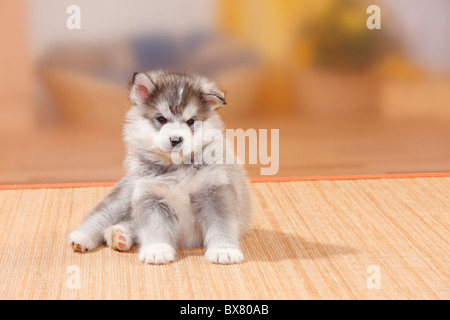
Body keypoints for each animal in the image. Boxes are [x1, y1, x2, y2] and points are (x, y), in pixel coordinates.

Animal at [67, 70, 251, 264]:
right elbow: (154, 227)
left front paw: (224, 250)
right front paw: (157, 250)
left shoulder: (215, 192)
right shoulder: (150, 196)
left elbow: (221, 225)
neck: (176, 169)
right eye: (161, 119)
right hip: (124, 197)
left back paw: (120, 236)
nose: (176, 139)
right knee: (101, 215)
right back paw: (83, 237)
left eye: (191, 121)